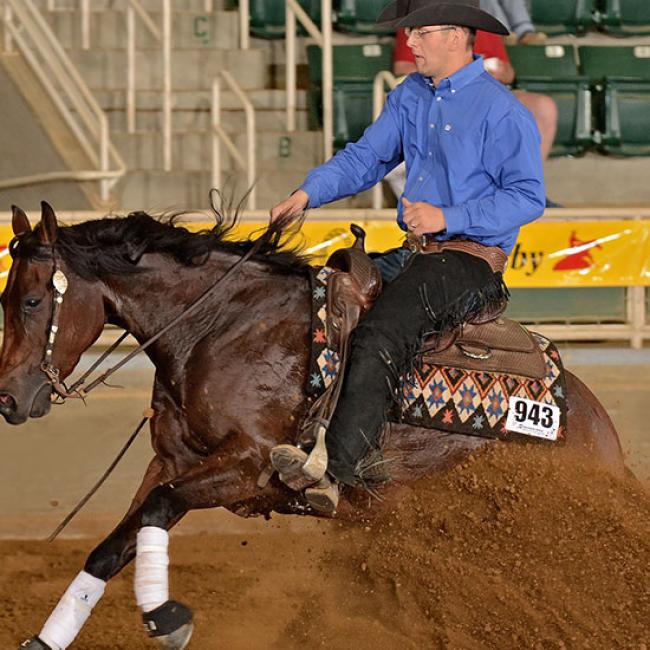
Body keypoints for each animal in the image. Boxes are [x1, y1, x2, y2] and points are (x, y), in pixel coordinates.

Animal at [0, 202, 624, 648]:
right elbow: (112, 546)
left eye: (31, 300)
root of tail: (600, 432)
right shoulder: (171, 462)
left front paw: (167, 616)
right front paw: (46, 640)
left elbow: (156, 511)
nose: (7, 398)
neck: (218, 326)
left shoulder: (247, 466)